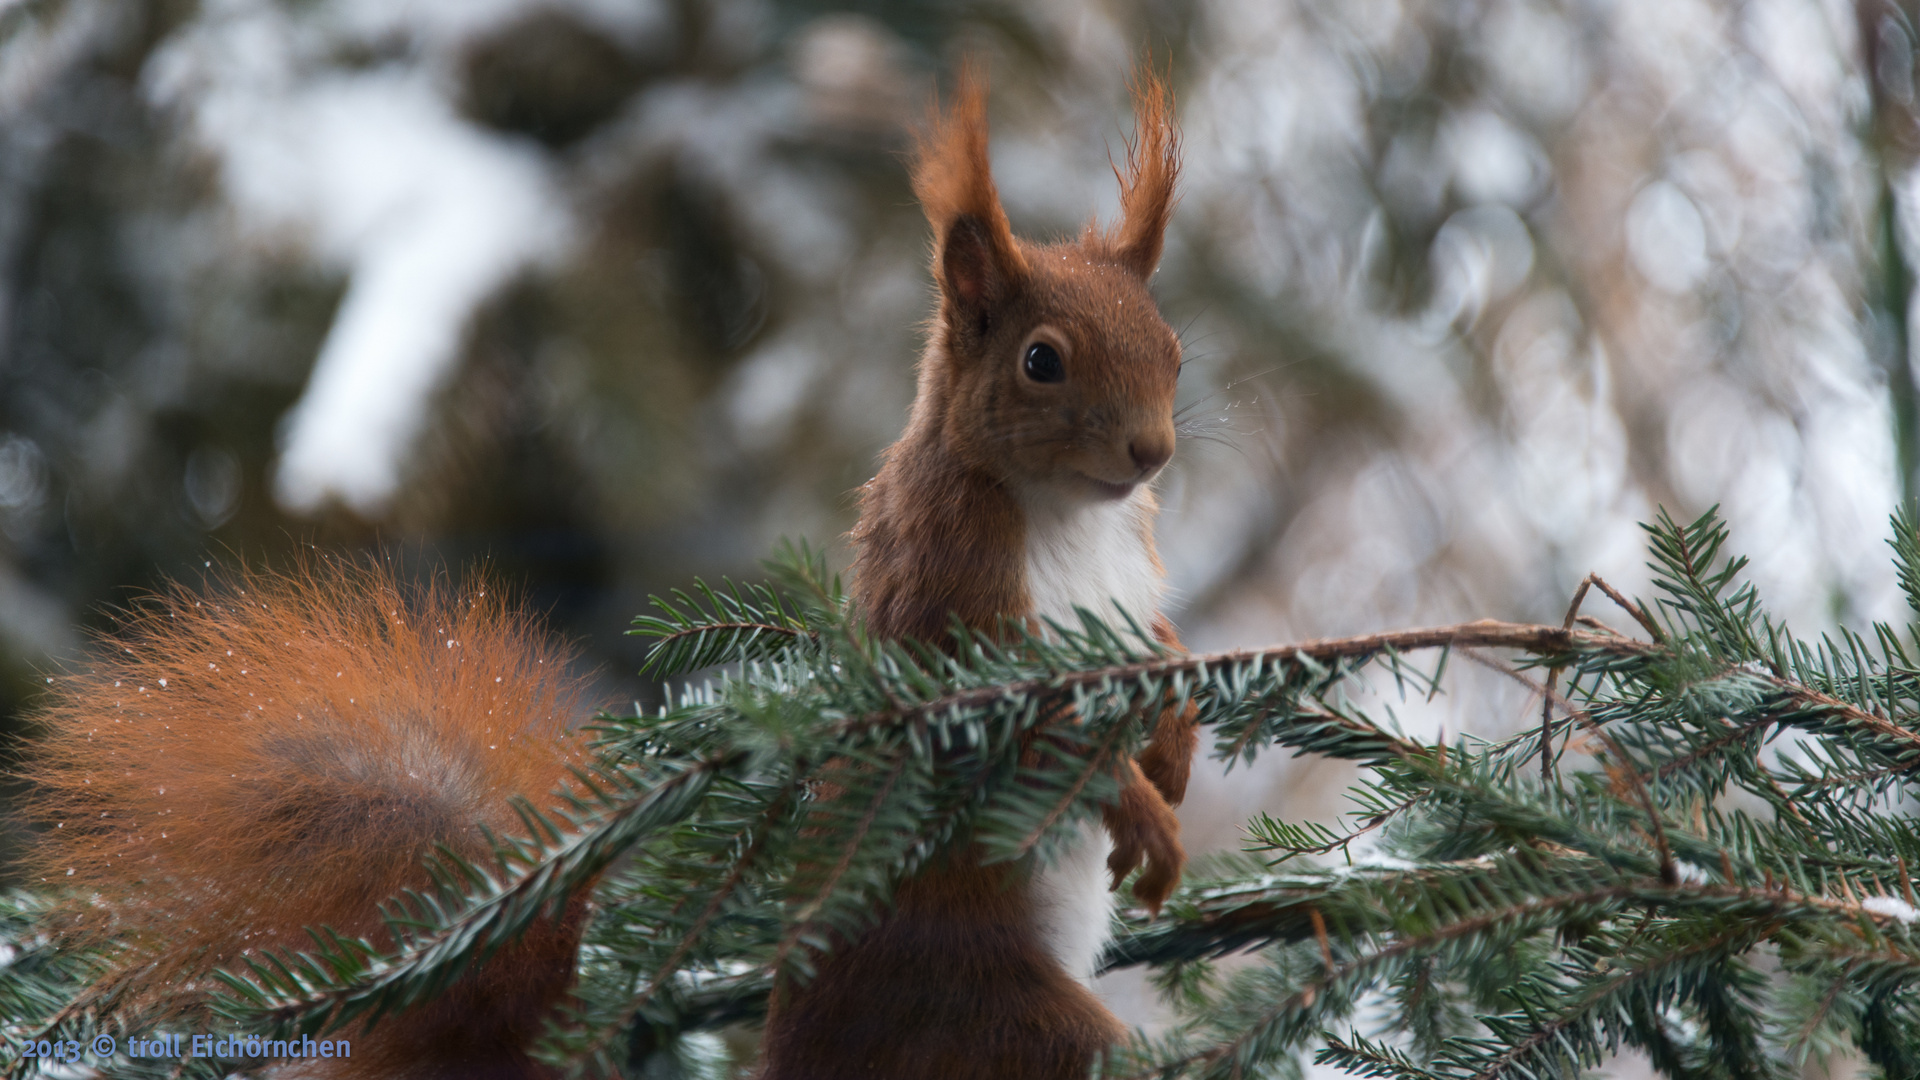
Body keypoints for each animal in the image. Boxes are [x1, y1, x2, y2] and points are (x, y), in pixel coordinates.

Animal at [752, 65, 1190, 1076]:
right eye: (1041, 360)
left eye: (1175, 354)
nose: (1152, 452)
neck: (1070, 513)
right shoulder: (953, 591)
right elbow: (1029, 731)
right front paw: (1142, 809)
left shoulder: (1135, 571)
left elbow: (1164, 638)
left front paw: (1177, 734)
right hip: (995, 1011)